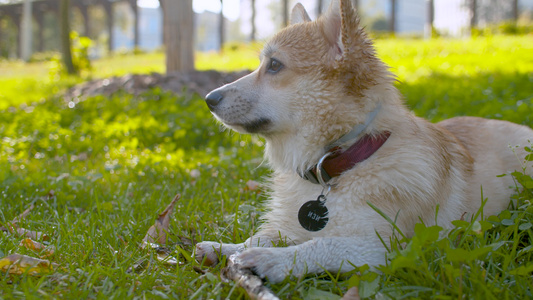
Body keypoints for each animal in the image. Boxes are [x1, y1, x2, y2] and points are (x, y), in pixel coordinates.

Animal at [194, 0, 532, 284]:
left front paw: (274, 260)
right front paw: (223, 247)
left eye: (274, 65)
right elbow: (260, 236)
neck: (345, 159)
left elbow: (323, 244)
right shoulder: (290, 225)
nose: (208, 99)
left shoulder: (389, 249)